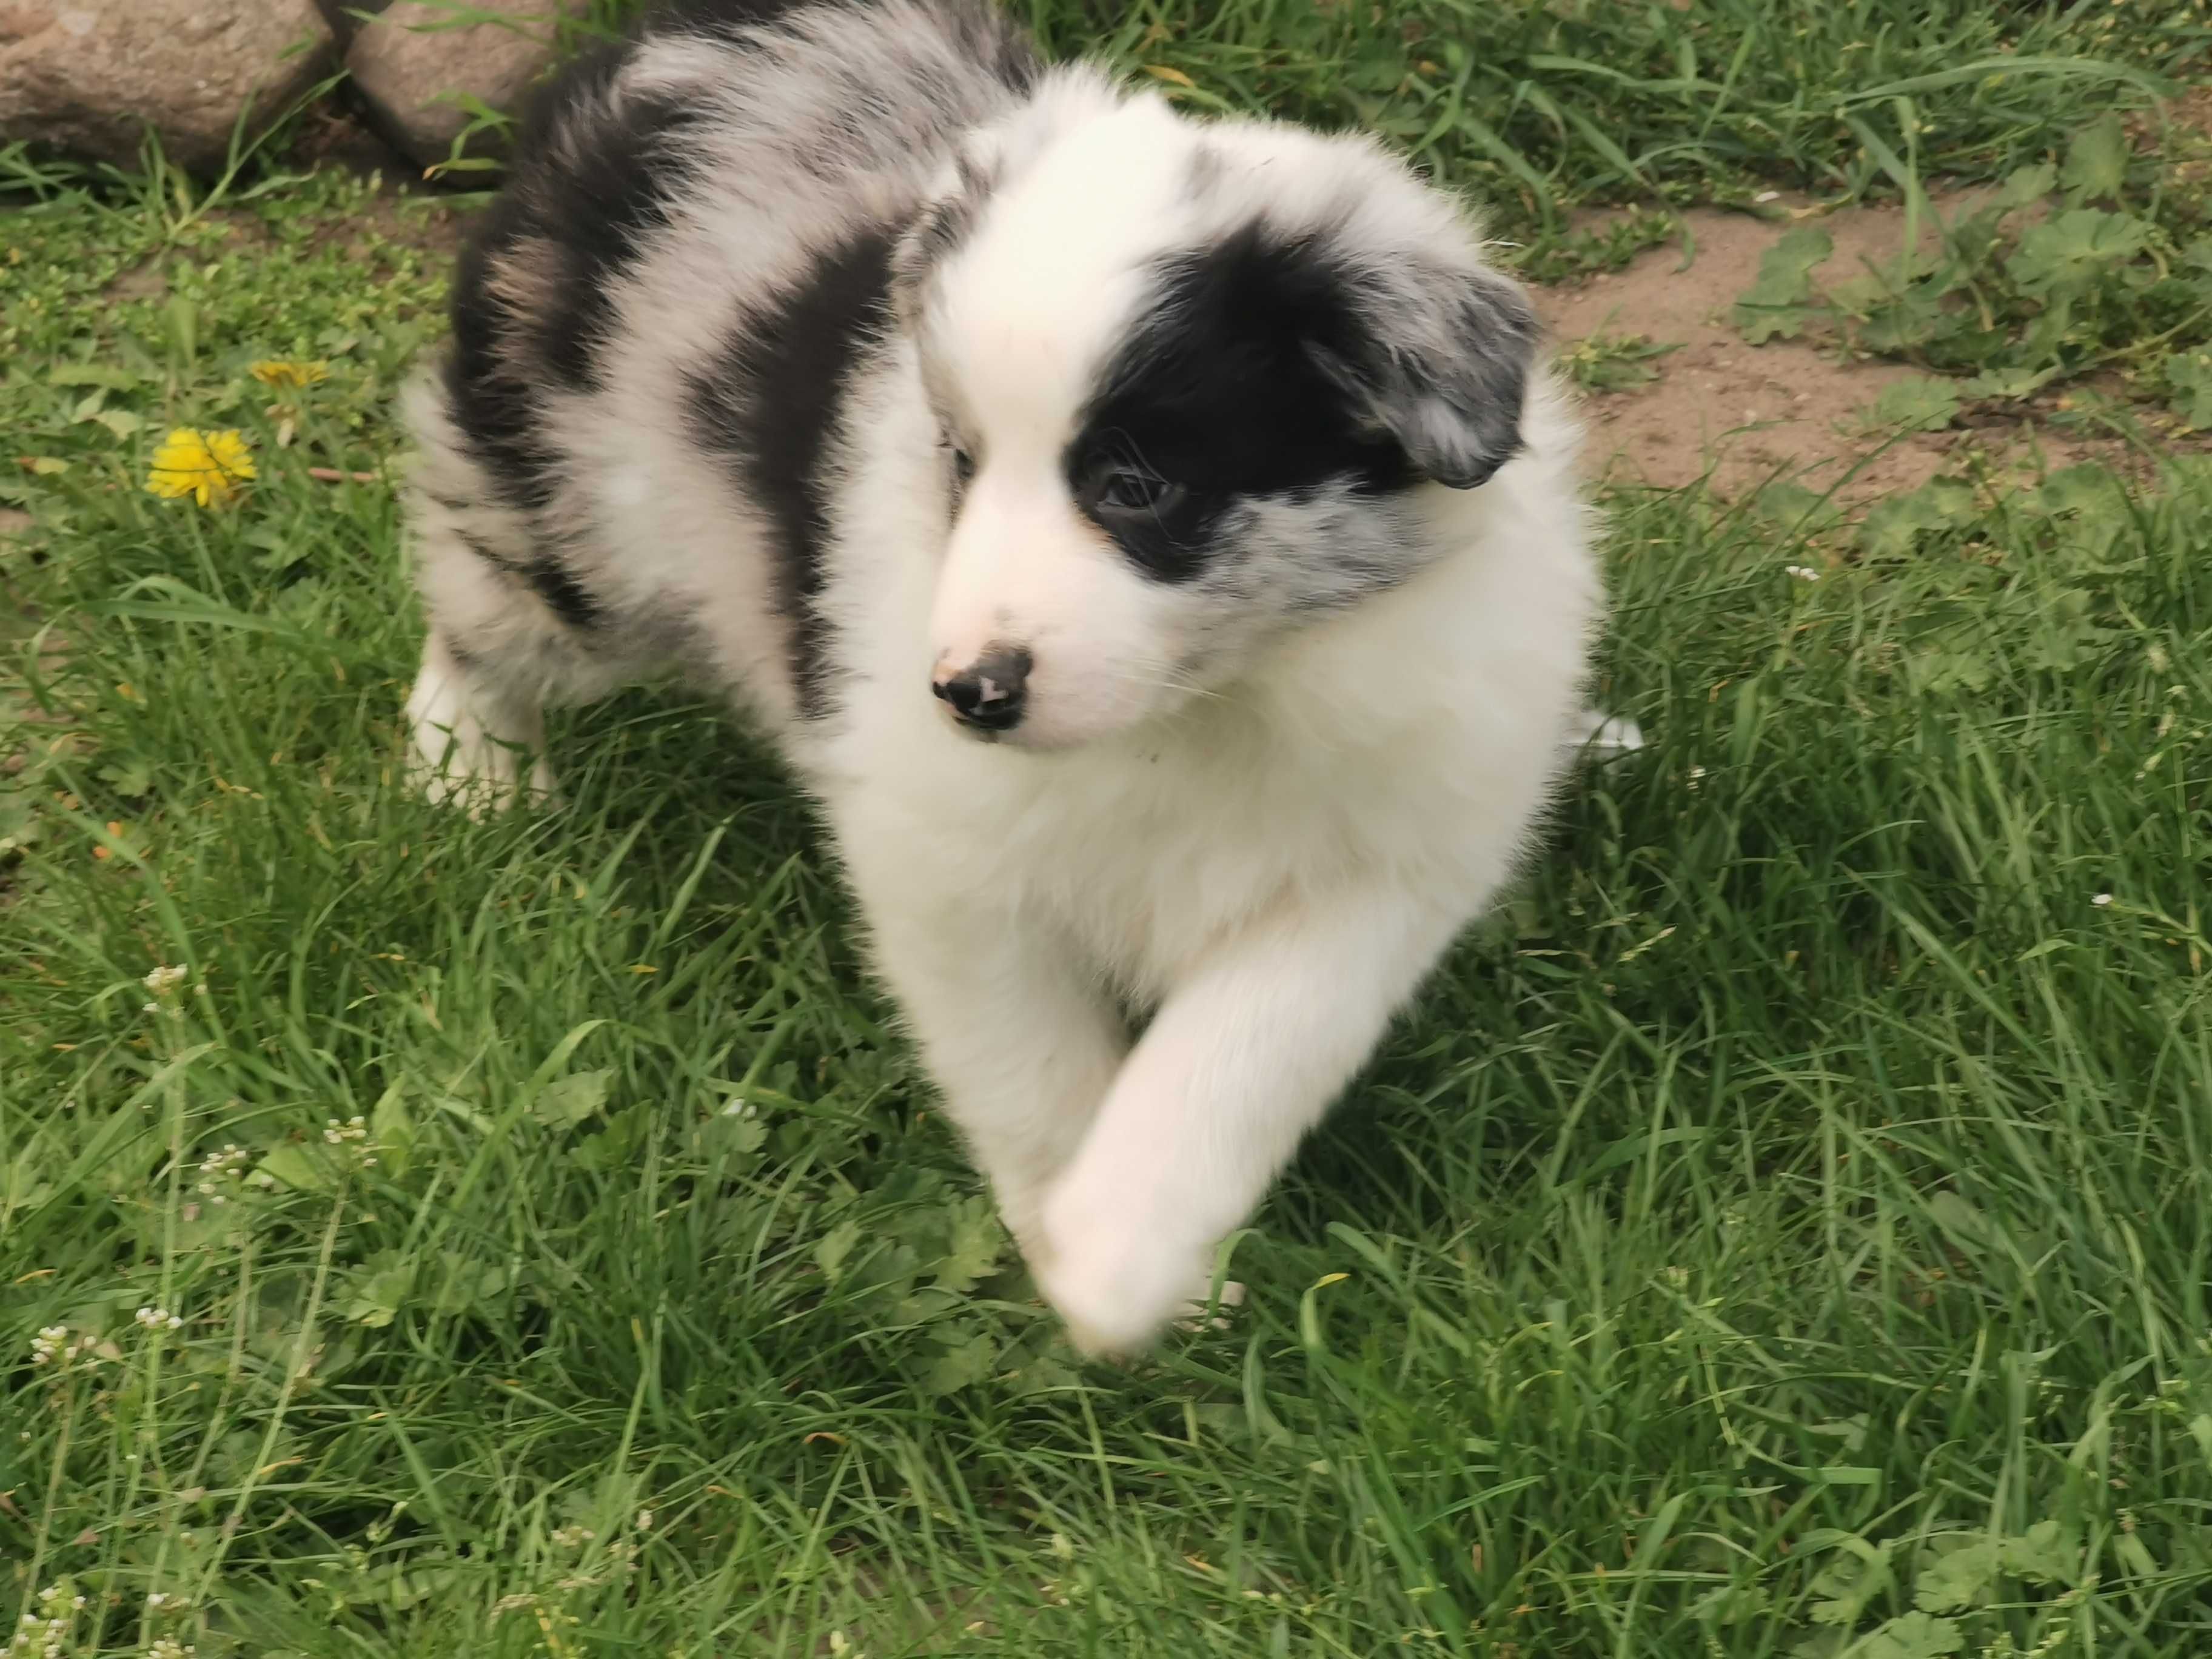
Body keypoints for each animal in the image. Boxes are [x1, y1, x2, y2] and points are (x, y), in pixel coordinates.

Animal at [407, 0, 1601, 1353]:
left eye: (1136, 485)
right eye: (961, 463)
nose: (970, 693)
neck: (1205, 707)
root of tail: (690, 34)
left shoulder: (1372, 875)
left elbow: (1235, 1060)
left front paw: (1127, 1260)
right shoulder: (950, 871)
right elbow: (1031, 1067)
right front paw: (1074, 1254)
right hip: (571, 501)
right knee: (474, 586)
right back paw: (468, 775)